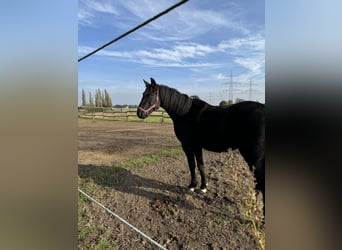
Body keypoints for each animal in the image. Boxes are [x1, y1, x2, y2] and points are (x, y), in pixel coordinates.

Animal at [136, 78, 264, 213]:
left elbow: (193, 165)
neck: (185, 112)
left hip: (252, 155)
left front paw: (193, 185)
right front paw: (203, 186)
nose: (139, 113)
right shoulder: (197, 146)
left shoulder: (189, 146)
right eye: (143, 94)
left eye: (150, 95)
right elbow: (201, 165)